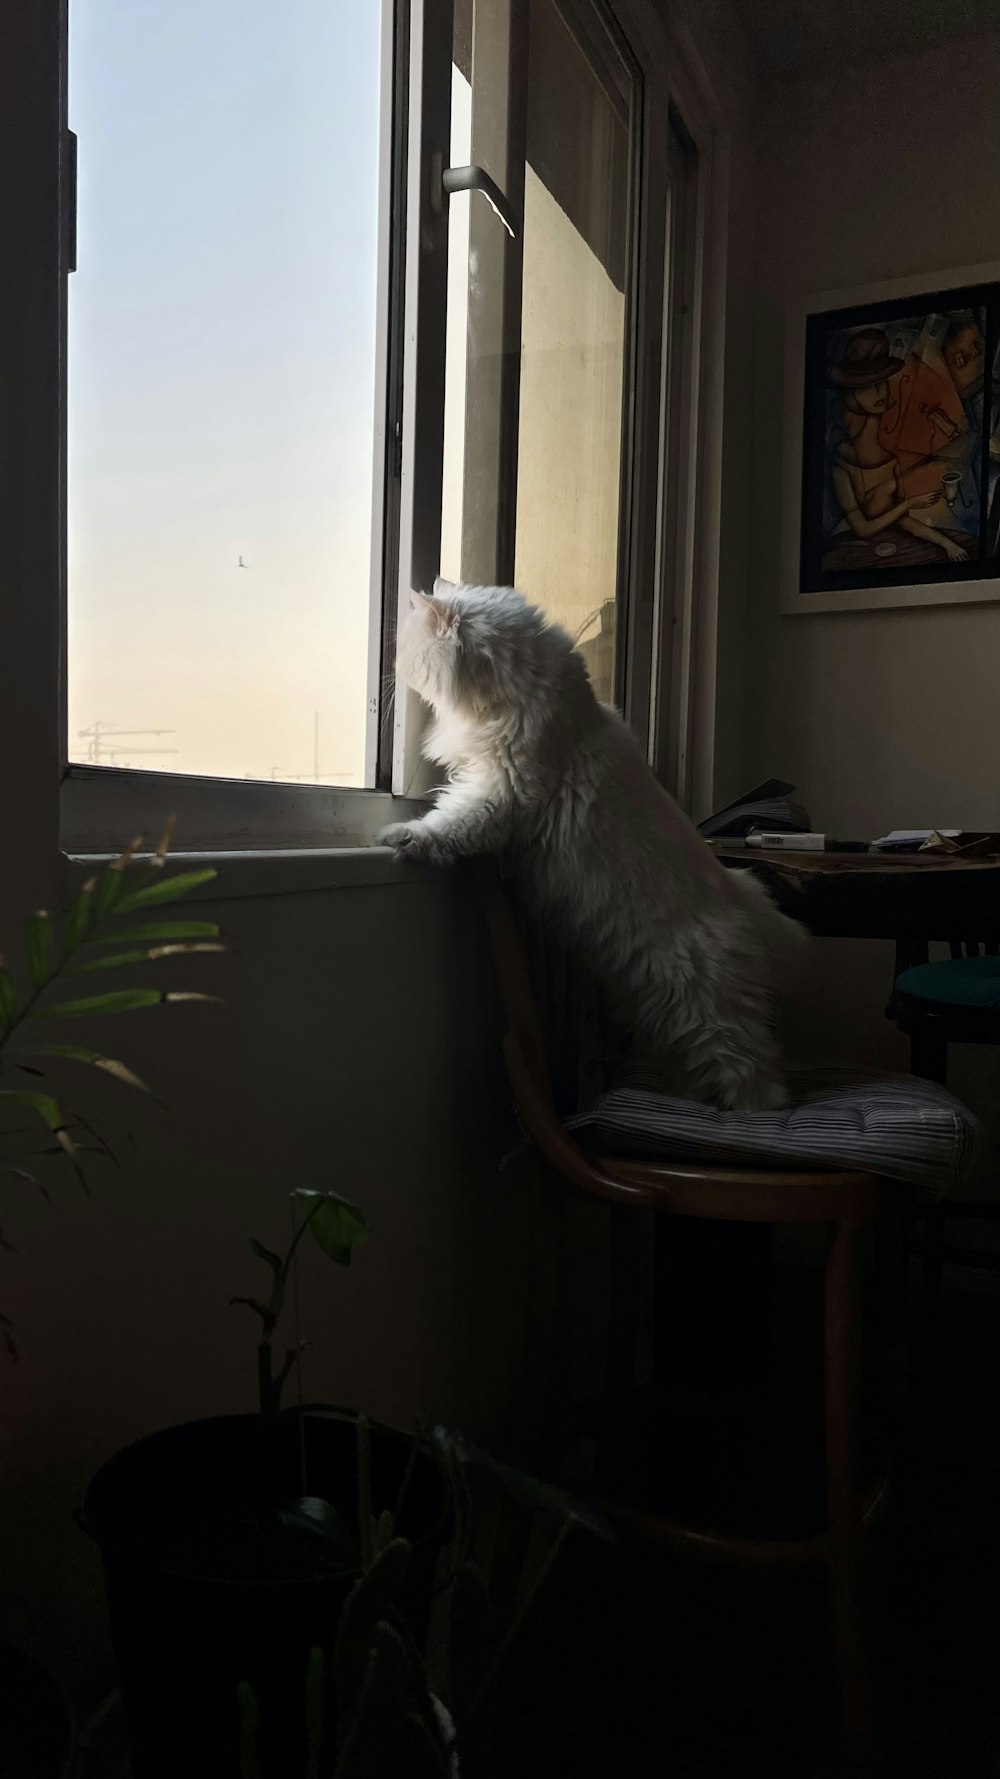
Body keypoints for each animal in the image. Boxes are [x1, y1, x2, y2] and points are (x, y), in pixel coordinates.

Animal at [379, 576, 800, 1102]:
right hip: (660, 1015)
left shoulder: (499, 793)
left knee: (756, 1077)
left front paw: (402, 836)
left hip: (710, 1017)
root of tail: (751, 911)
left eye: (407, 650)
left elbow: (447, 824)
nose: (394, 671)